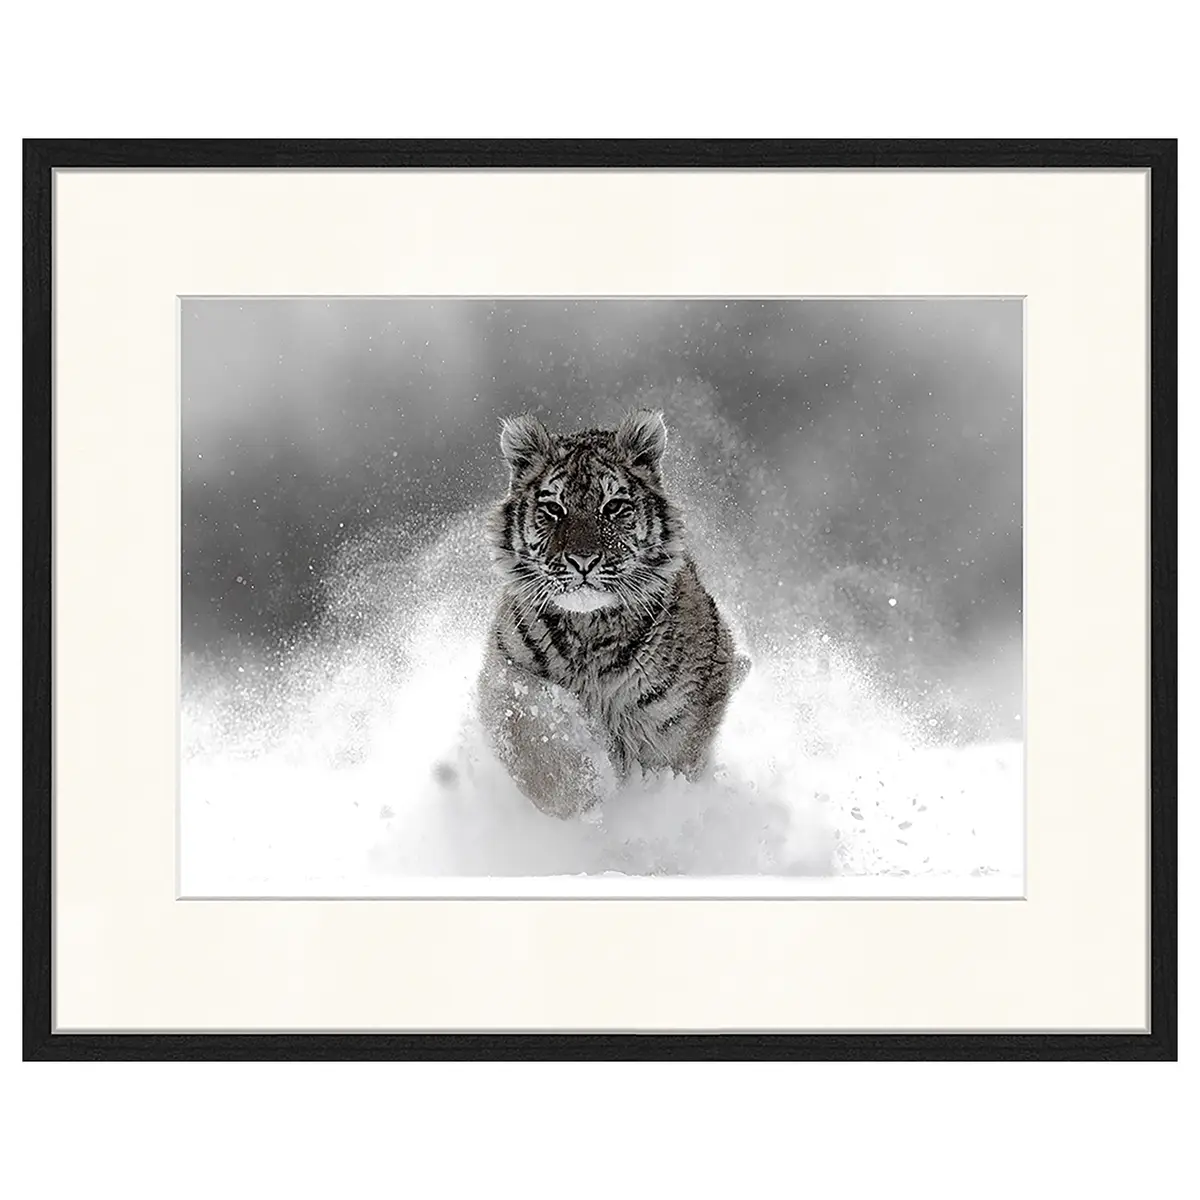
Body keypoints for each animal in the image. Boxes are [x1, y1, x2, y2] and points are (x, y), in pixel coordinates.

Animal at [476, 409, 750, 818]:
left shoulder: (677, 721)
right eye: (554, 509)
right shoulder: (505, 673)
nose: (583, 560)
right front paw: (585, 789)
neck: (589, 629)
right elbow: (534, 731)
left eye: (612, 506)